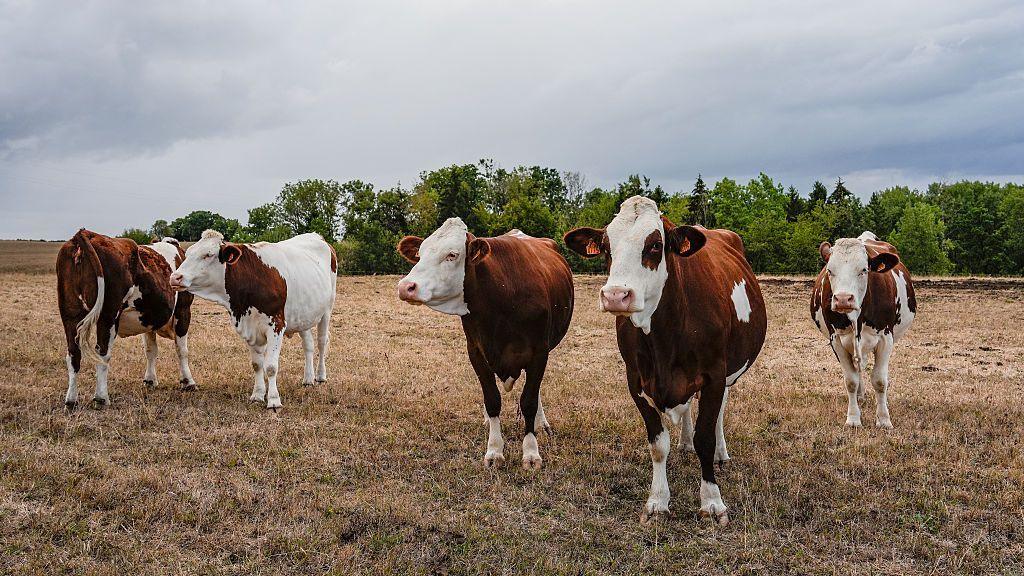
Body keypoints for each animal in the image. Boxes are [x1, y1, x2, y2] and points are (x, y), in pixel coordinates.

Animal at [57, 229, 198, 409]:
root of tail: (87, 234)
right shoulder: (183, 310)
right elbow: (182, 350)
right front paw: (188, 382)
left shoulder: (148, 319)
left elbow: (150, 350)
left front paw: (150, 380)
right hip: (108, 314)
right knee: (102, 352)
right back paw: (101, 398)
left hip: (70, 314)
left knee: (73, 354)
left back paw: (71, 401)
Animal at [169, 230, 337, 411]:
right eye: (187, 254)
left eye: (208, 255)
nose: (175, 277)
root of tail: (317, 236)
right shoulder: (250, 327)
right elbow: (257, 364)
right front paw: (257, 395)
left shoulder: (276, 325)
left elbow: (270, 366)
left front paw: (273, 400)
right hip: (304, 315)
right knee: (308, 345)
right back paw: (308, 379)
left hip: (327, 309)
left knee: (322, 341)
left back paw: (320, 376)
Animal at [395, 218, 574, 470]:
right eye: (420, 254)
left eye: (452, 255)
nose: (406, 286)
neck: (502, 298)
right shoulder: (476, 351)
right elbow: (492, 400)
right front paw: (494, 451)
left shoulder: (539, 352)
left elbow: (529, 400)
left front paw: (531, 453)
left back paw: (541, 423)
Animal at [564, 196, 766, 525]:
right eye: (606, 246)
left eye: (656, 245)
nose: (616, 295)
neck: (665, 336)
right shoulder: (636, 380)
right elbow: (658, 445)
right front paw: (658, 501)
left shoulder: (714, 375)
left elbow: (705, 437)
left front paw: (712, 502)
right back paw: (685, 442)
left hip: (729, 372)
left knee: (720, 410)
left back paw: (721, 453)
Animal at [811, 231, 916, 429]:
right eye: (830, 271)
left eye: (864, 270)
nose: (843, 299)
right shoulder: (836, 339)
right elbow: (850, 380)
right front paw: (853, 418)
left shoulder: (886, 338)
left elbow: (880, 381)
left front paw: (884, 419)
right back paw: (860, 396)